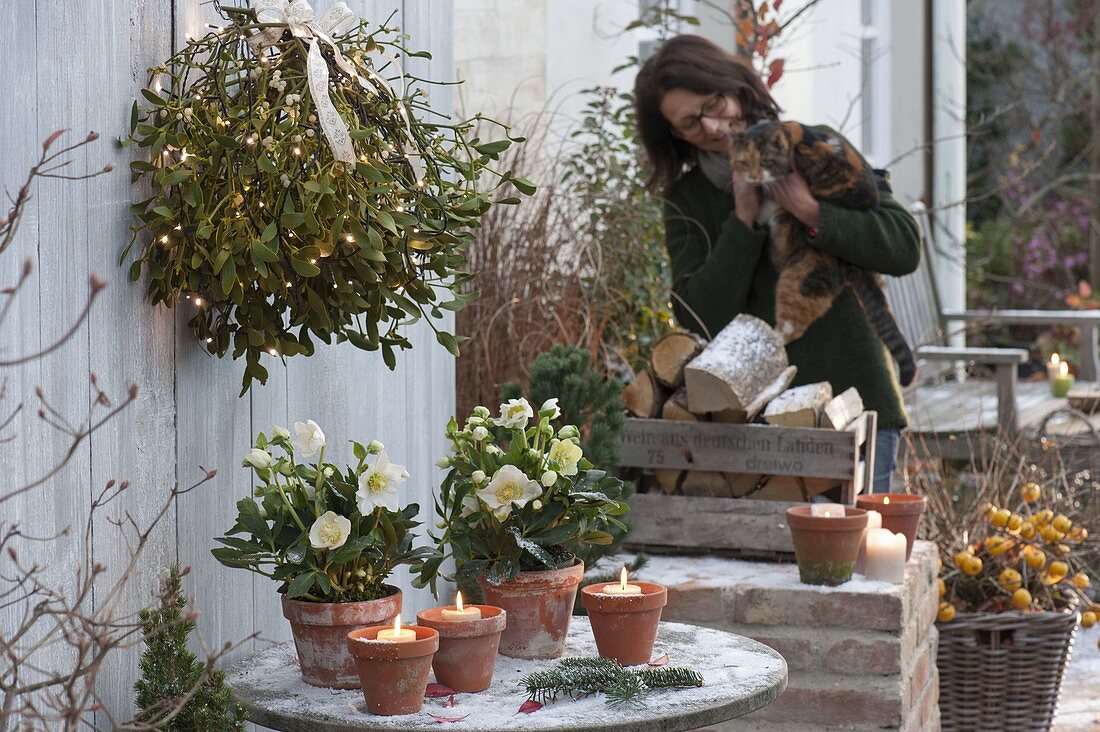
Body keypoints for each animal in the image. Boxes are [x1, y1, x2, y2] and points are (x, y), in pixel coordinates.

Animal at [726, 121, 915, 387]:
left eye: (766, 161)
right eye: (743, 162)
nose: (753, 177)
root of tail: (853, 266)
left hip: (800, 278)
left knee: (792, 325)